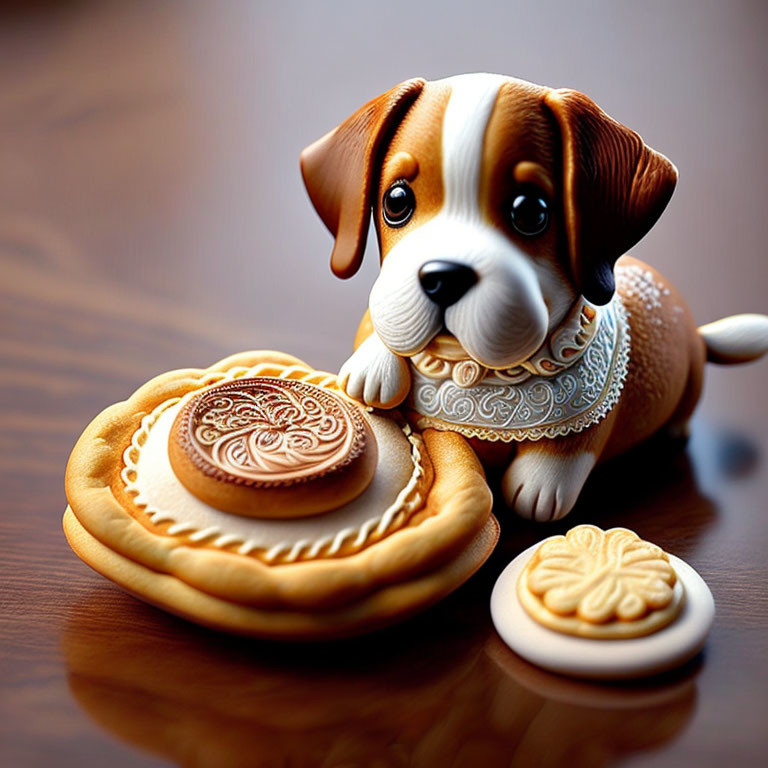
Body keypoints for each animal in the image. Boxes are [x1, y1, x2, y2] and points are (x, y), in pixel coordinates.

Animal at [300, 73, 768, 520]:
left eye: (530, 212)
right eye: (396, 200)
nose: (443, 278)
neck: (470, 369)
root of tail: (696, 333)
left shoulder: (590, 418)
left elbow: (572, 444)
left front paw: (541, 485)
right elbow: (378, 323)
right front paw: (374, 367)